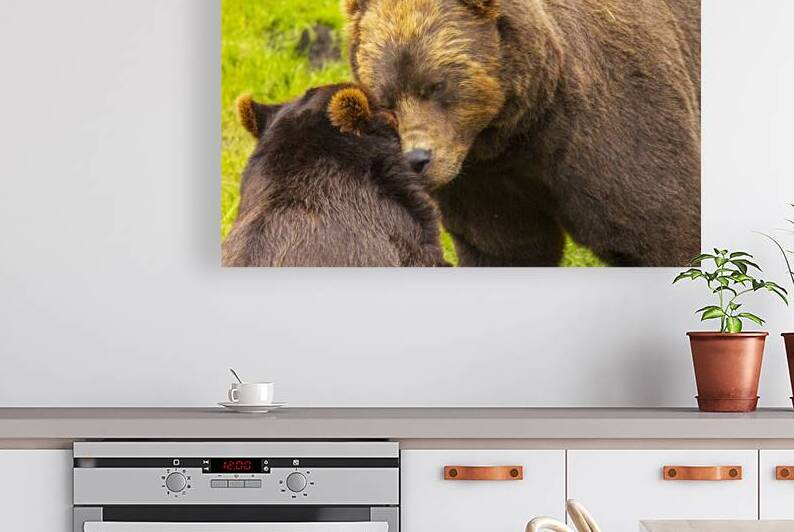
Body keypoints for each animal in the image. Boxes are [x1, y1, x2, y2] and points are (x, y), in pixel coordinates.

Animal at [344, 0, 701, 267]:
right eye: (386, 98)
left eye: (436, 85)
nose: (417, 159)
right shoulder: (484, 177)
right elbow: (505, 247)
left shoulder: (612, 118)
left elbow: (658, 228)